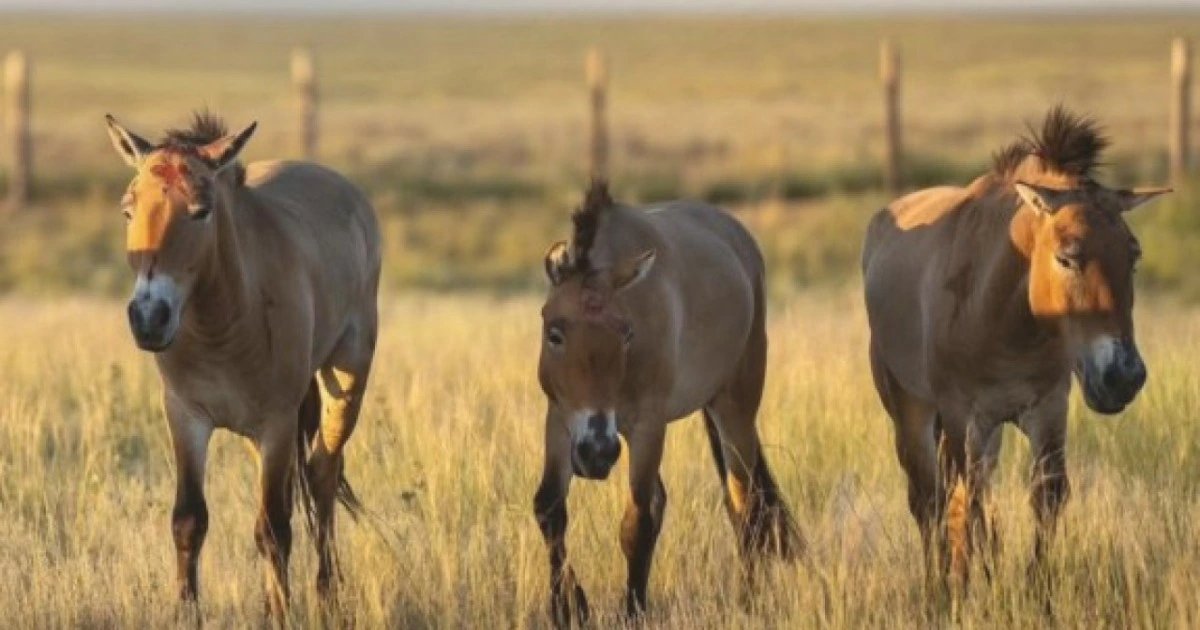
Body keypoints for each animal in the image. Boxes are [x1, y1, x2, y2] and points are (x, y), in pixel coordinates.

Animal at [105, 112, 381, 617]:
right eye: (128, 209)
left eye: (200, 210)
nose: (149, 317)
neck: (224, 325)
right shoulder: (186, 416)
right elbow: (190, 520)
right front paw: (187, 612)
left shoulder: (276, 421)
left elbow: (273, 528)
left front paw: (283, 616)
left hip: (346, 380)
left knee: (322, 475)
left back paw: (327, 592)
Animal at [534, 180, 801, 625]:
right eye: (555, 333)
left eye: (626, 334)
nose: (597, 452)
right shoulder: (561, 418)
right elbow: (549, 509)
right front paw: (568, 609)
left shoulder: (647, 426)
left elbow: (637, 523)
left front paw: (630, 612)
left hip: (735, 408)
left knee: (744, 504)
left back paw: (748, 601)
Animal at [862, 106, 1168, 588]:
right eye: (1066, 257)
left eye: (1133, 257)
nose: (1123, 376)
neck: (1007, 325)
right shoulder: (962, 416)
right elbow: (962, 503)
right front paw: (962, 587)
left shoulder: (1046, 409)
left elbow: (1046, 495)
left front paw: (1034, 588)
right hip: (912, 413)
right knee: (927, 499)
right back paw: (938, 582)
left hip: (987, 431)